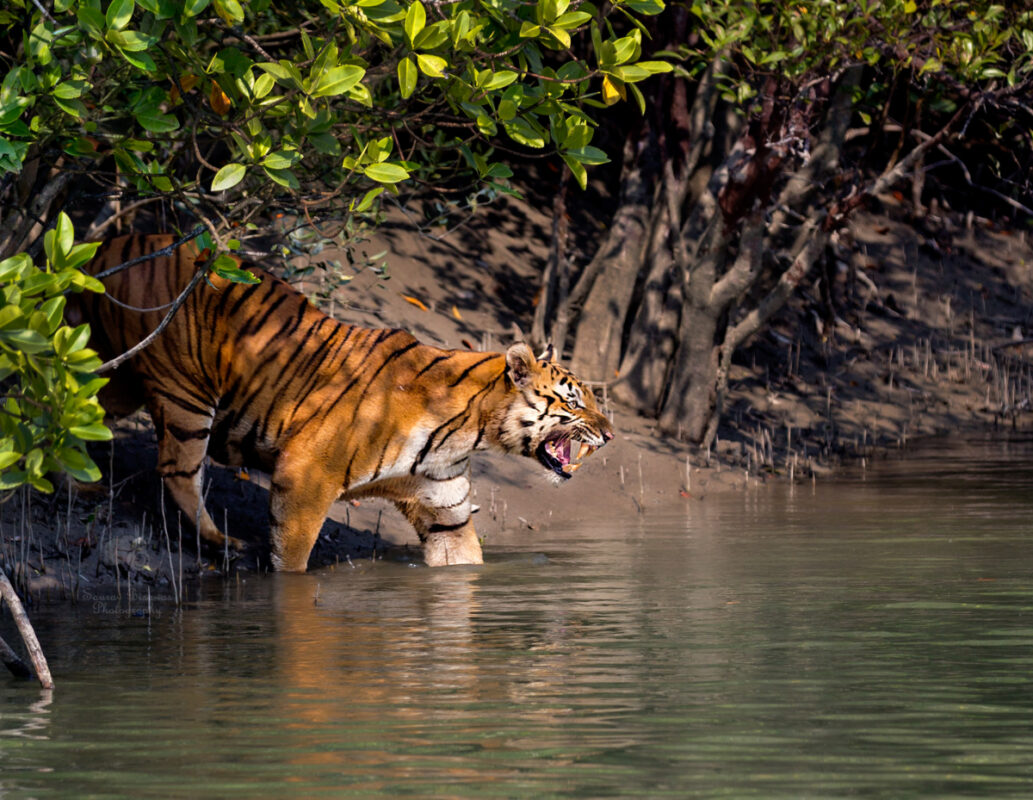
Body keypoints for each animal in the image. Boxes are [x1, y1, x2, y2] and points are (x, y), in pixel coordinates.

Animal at [80, 234, 615, 574]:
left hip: (120, 377)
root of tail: (117, 240)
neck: (468, 431)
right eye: (574, 401)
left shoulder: (447, 509)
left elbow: (462, 564)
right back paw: (220, 541)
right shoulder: (305, 476)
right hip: (186, 395)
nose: (610, 434)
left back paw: (78, 482)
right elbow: (293, 558)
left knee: (78, 406)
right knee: (177, 471)